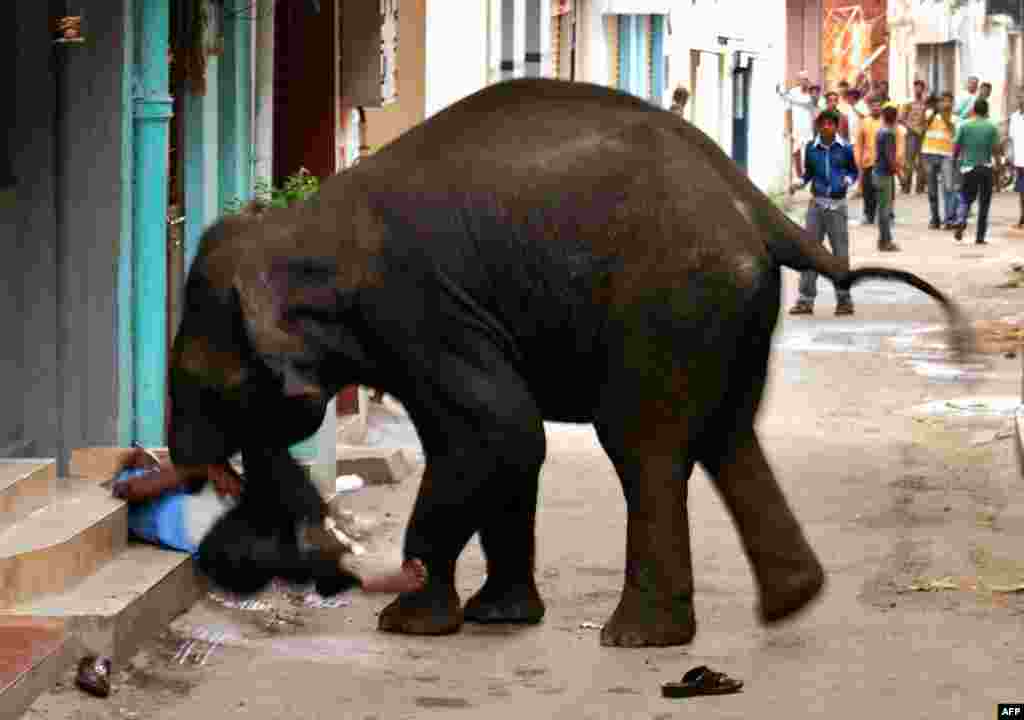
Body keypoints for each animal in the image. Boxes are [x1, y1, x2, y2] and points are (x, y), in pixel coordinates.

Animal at [165, 78, 966, 647]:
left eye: (200, 381)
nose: (195, 473)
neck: (301, 228)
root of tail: (756, 208)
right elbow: (499, 445)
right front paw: (498, 618)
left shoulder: (420, 308)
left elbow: (499, 433)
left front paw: (409, 622)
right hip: (730, 309)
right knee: (728, 436)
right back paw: (789, 602)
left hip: (669, 302)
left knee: (646, 447)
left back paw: (639, 638)